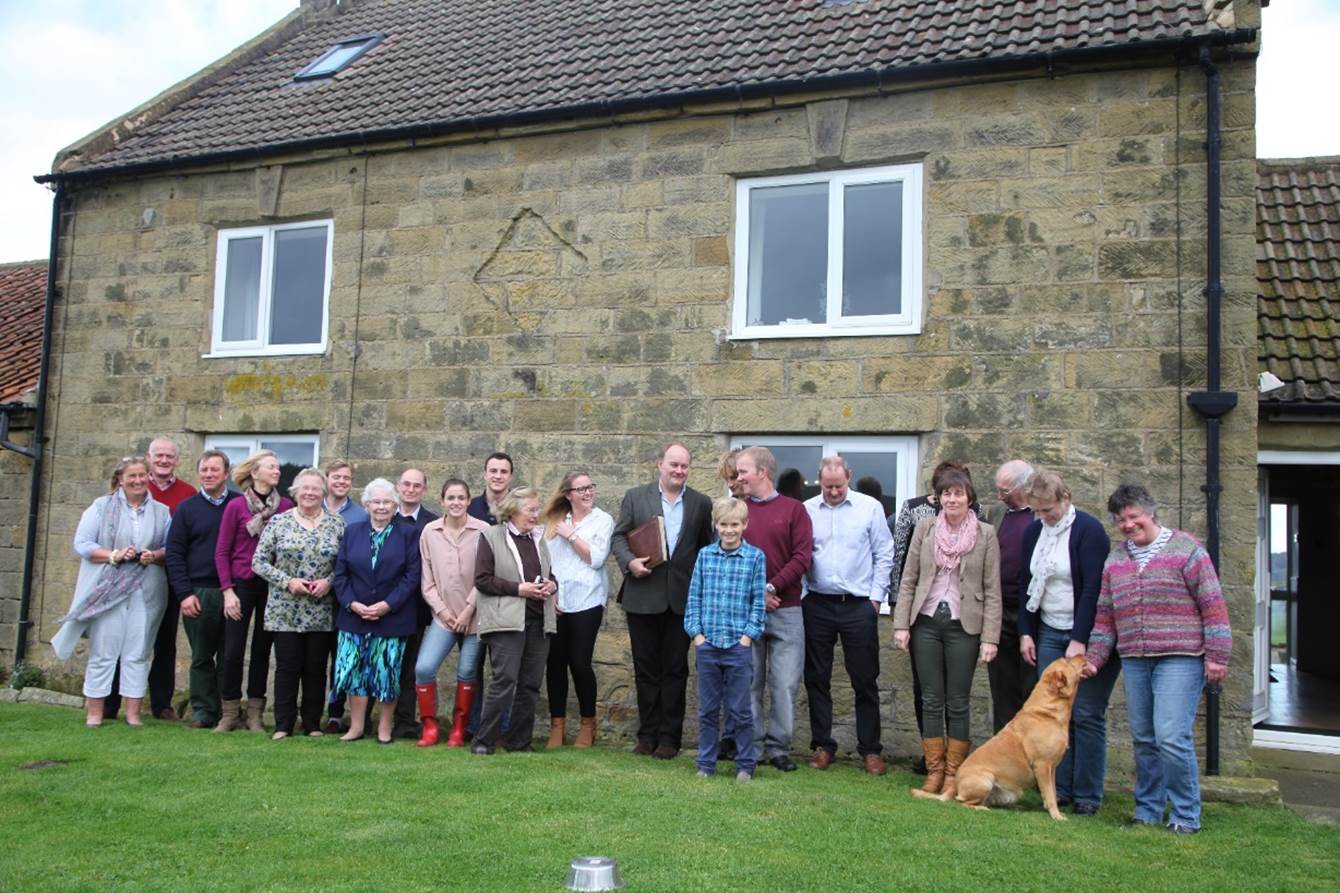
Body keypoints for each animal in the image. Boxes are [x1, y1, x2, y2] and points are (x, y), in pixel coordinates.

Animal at [911, 651, 1088, 815]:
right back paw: (982, 808)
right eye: (1068, 661)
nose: (1082, 654)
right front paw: (1056, 816)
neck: (1047, 711)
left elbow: (1051, 792)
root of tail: (953, 784)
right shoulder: (1043, 765)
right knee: (963, 802)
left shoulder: (1052, 768)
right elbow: (1050, 795)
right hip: (985, 780)